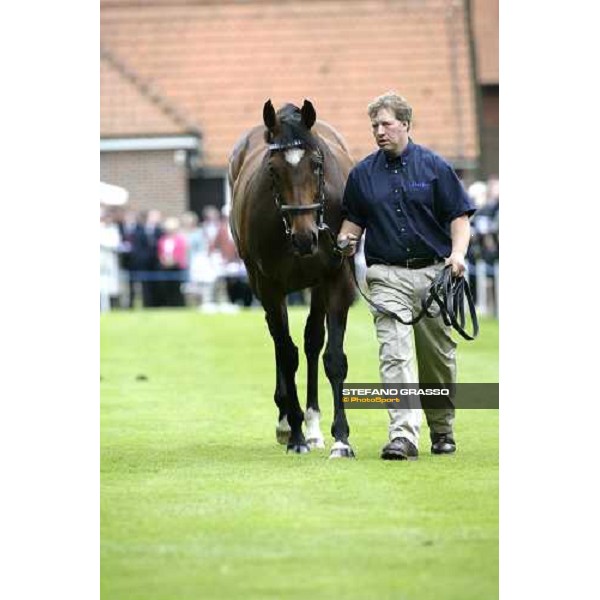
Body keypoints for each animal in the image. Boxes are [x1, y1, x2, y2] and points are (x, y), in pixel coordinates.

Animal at [227, 101, 354, 458]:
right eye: (273, 170)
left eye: (317, 164)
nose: (305, 237)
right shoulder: (269, 285)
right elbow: (286, 353)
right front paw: (295, 433)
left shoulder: (335, 276)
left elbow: (332, 357)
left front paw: (341, 438)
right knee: (279, 339)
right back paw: (288, 422)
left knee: (312, 341)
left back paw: (313, 427)